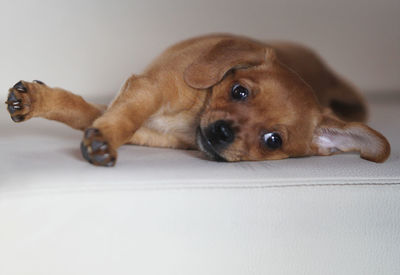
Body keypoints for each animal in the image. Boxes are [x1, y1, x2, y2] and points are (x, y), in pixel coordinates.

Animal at [5, 32, 390, 166]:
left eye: (273, 141)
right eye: (239, 91)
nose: (222, 132)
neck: (190, 117)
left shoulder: (125, 118)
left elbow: (86, 113)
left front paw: (101, 139)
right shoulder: (141, 92)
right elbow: (84, 109)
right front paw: (37, 99)